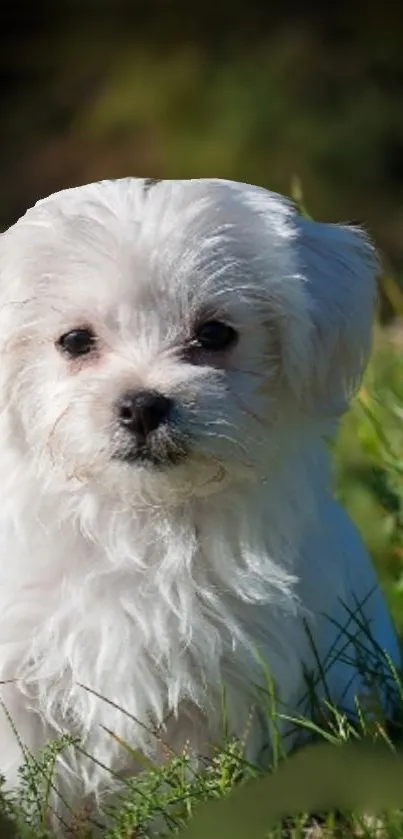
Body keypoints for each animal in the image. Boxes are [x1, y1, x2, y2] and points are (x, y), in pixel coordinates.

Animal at [0, 179, 400, 828]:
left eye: (214, 335)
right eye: (75, 341)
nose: (142, 404)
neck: (144, 519)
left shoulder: (226, 677)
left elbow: (191, 777)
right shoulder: (23, 674)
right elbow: (30, 777)